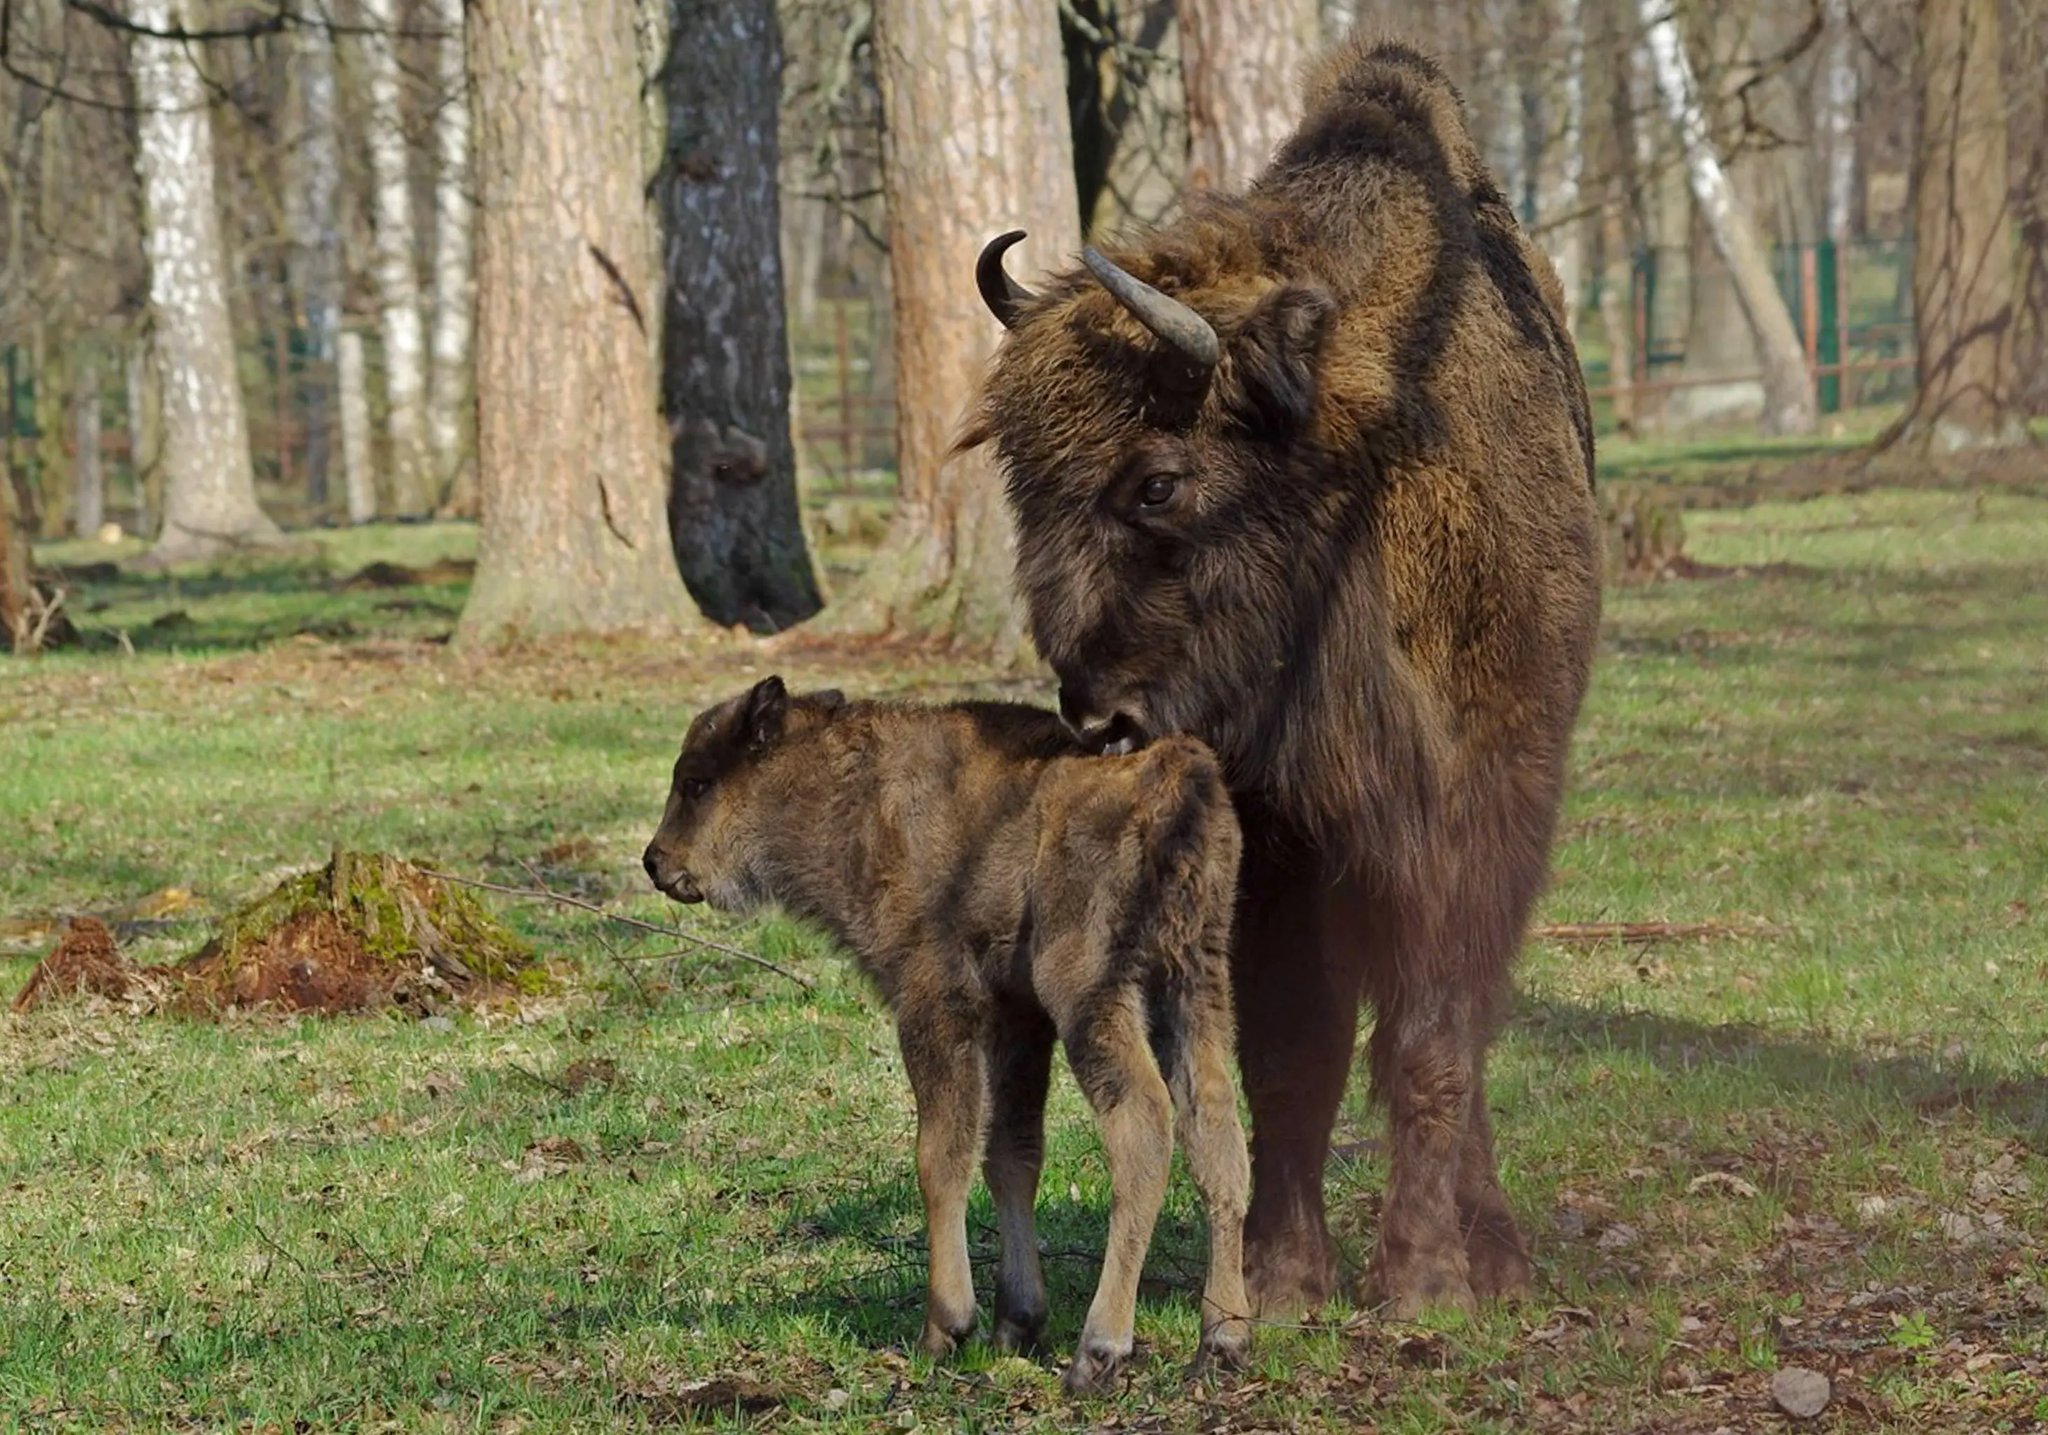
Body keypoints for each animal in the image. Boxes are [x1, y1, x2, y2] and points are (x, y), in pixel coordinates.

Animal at [638, 675, 1245, 1392]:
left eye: (698, 783)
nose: (656, 862)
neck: (856, 794)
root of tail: (1175, 777)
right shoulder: (1017, 1018)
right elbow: (1010, 1155)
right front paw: (1017, 1322)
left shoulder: (934, 1003)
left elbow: (941, 1156)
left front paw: (945, 1328)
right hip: (1194, 984)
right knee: (1216, 1129)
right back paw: (1224, 1340)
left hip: (1092, 990)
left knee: (1143, 1125)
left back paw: (1099, 1350)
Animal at [966, 33, 1605, 1318]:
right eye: (1022, 488)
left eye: (1155, 481)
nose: (1096, 715)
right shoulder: (1276, 847)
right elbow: (1290, 1051)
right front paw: (1278, 1276)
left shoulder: (1471, 815)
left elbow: (1428, 1039)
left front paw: (1420, 1282)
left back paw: (1492, 1252)